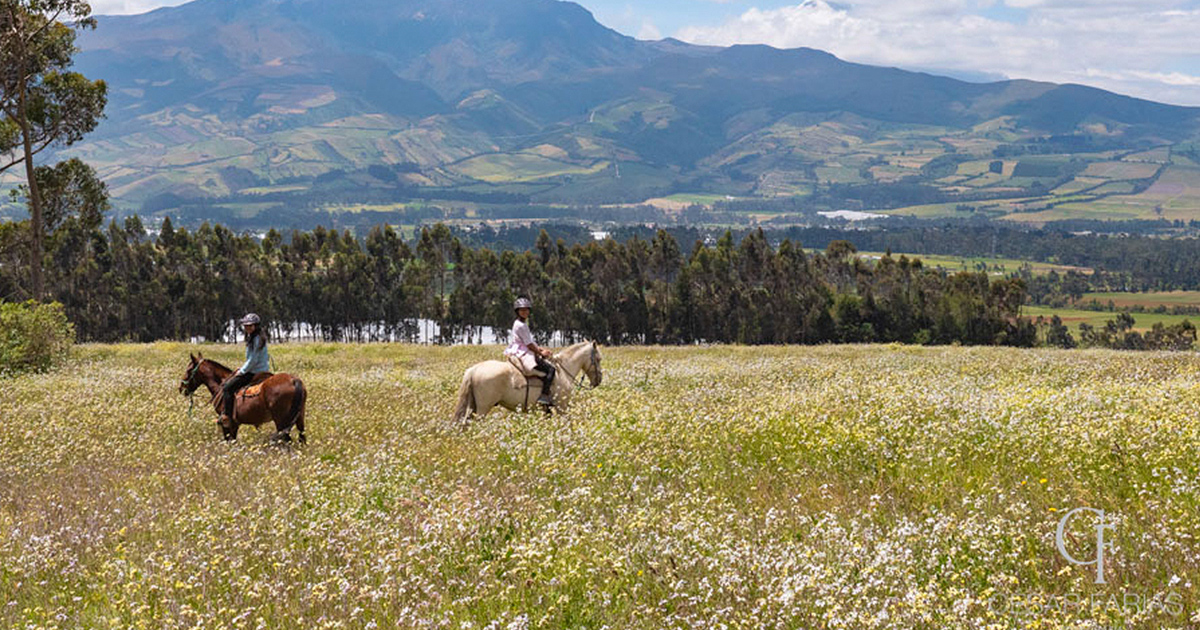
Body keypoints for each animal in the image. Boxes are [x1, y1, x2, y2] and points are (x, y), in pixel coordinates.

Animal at [180, 350, 309, 444]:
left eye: (189, 370)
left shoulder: (228, 424)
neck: (221, 385)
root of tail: (294, 380)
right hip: (299, 417)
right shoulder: (235, 424)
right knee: (301, 437)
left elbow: (229, 440)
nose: (181, 388)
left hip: (281, 421)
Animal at [451, 338, 600, 422]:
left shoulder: (547, 410)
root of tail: (474, 369)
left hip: (473, 406)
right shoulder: (561, 406)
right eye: (598, 359)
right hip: (483, 408)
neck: (562, 371)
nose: (598, 381)